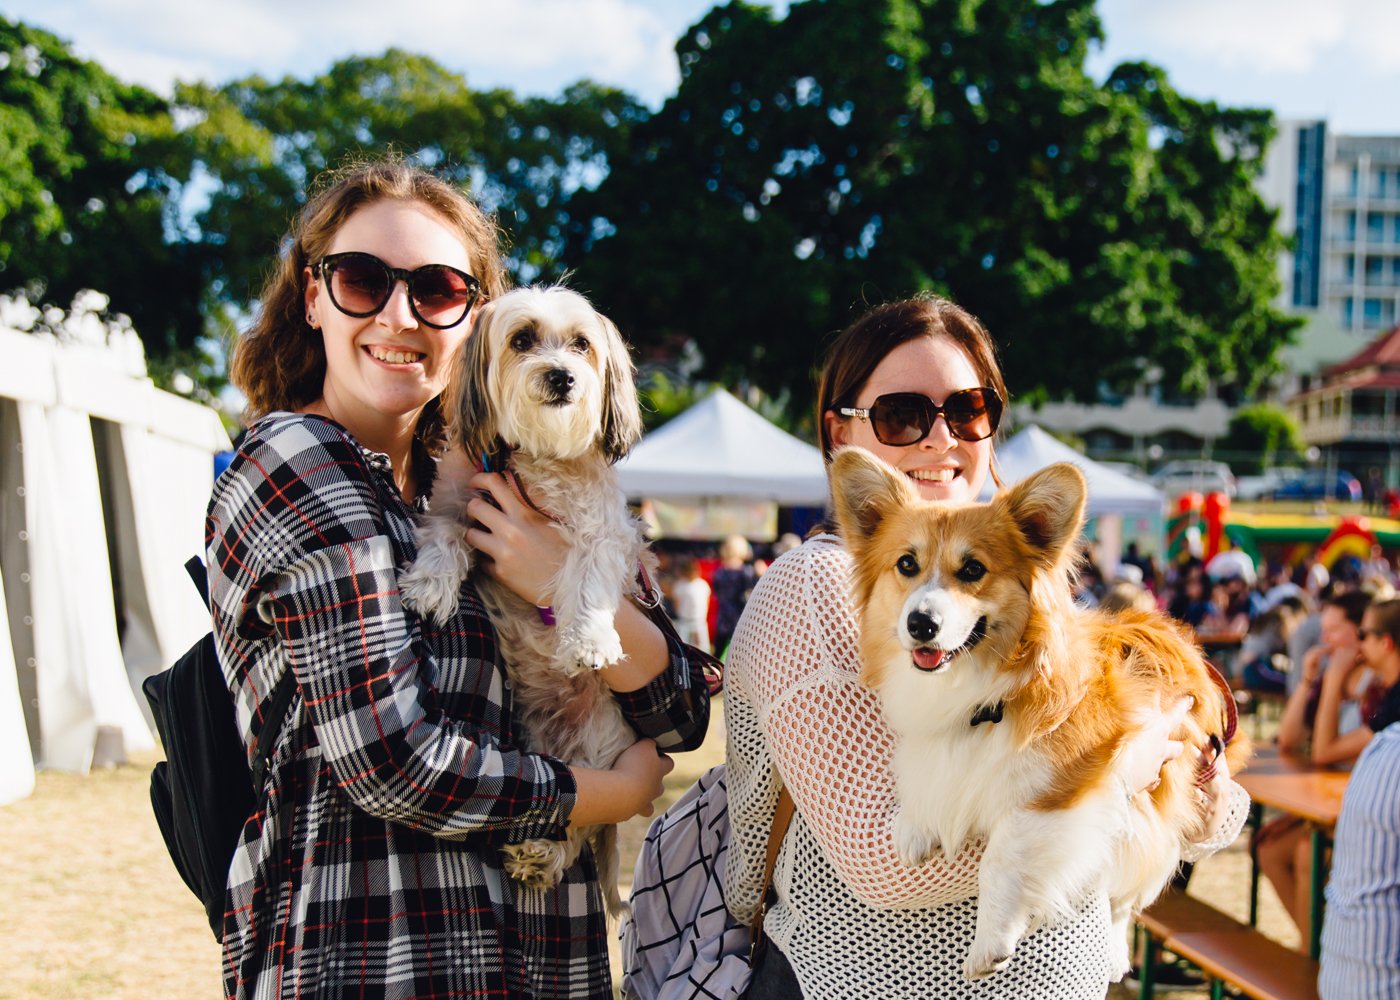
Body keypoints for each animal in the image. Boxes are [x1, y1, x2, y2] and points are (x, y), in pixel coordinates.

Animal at [400, 282, 649, 913]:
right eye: (521, 340)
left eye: (582, 344)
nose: (561, 375)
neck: (538, 460)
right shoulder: (459, 503)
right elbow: (443, 537)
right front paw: (431, 583)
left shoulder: (604, 533)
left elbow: (586, 579)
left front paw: (587, 640)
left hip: (598, 751)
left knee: (581, 821)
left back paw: (541, 857)